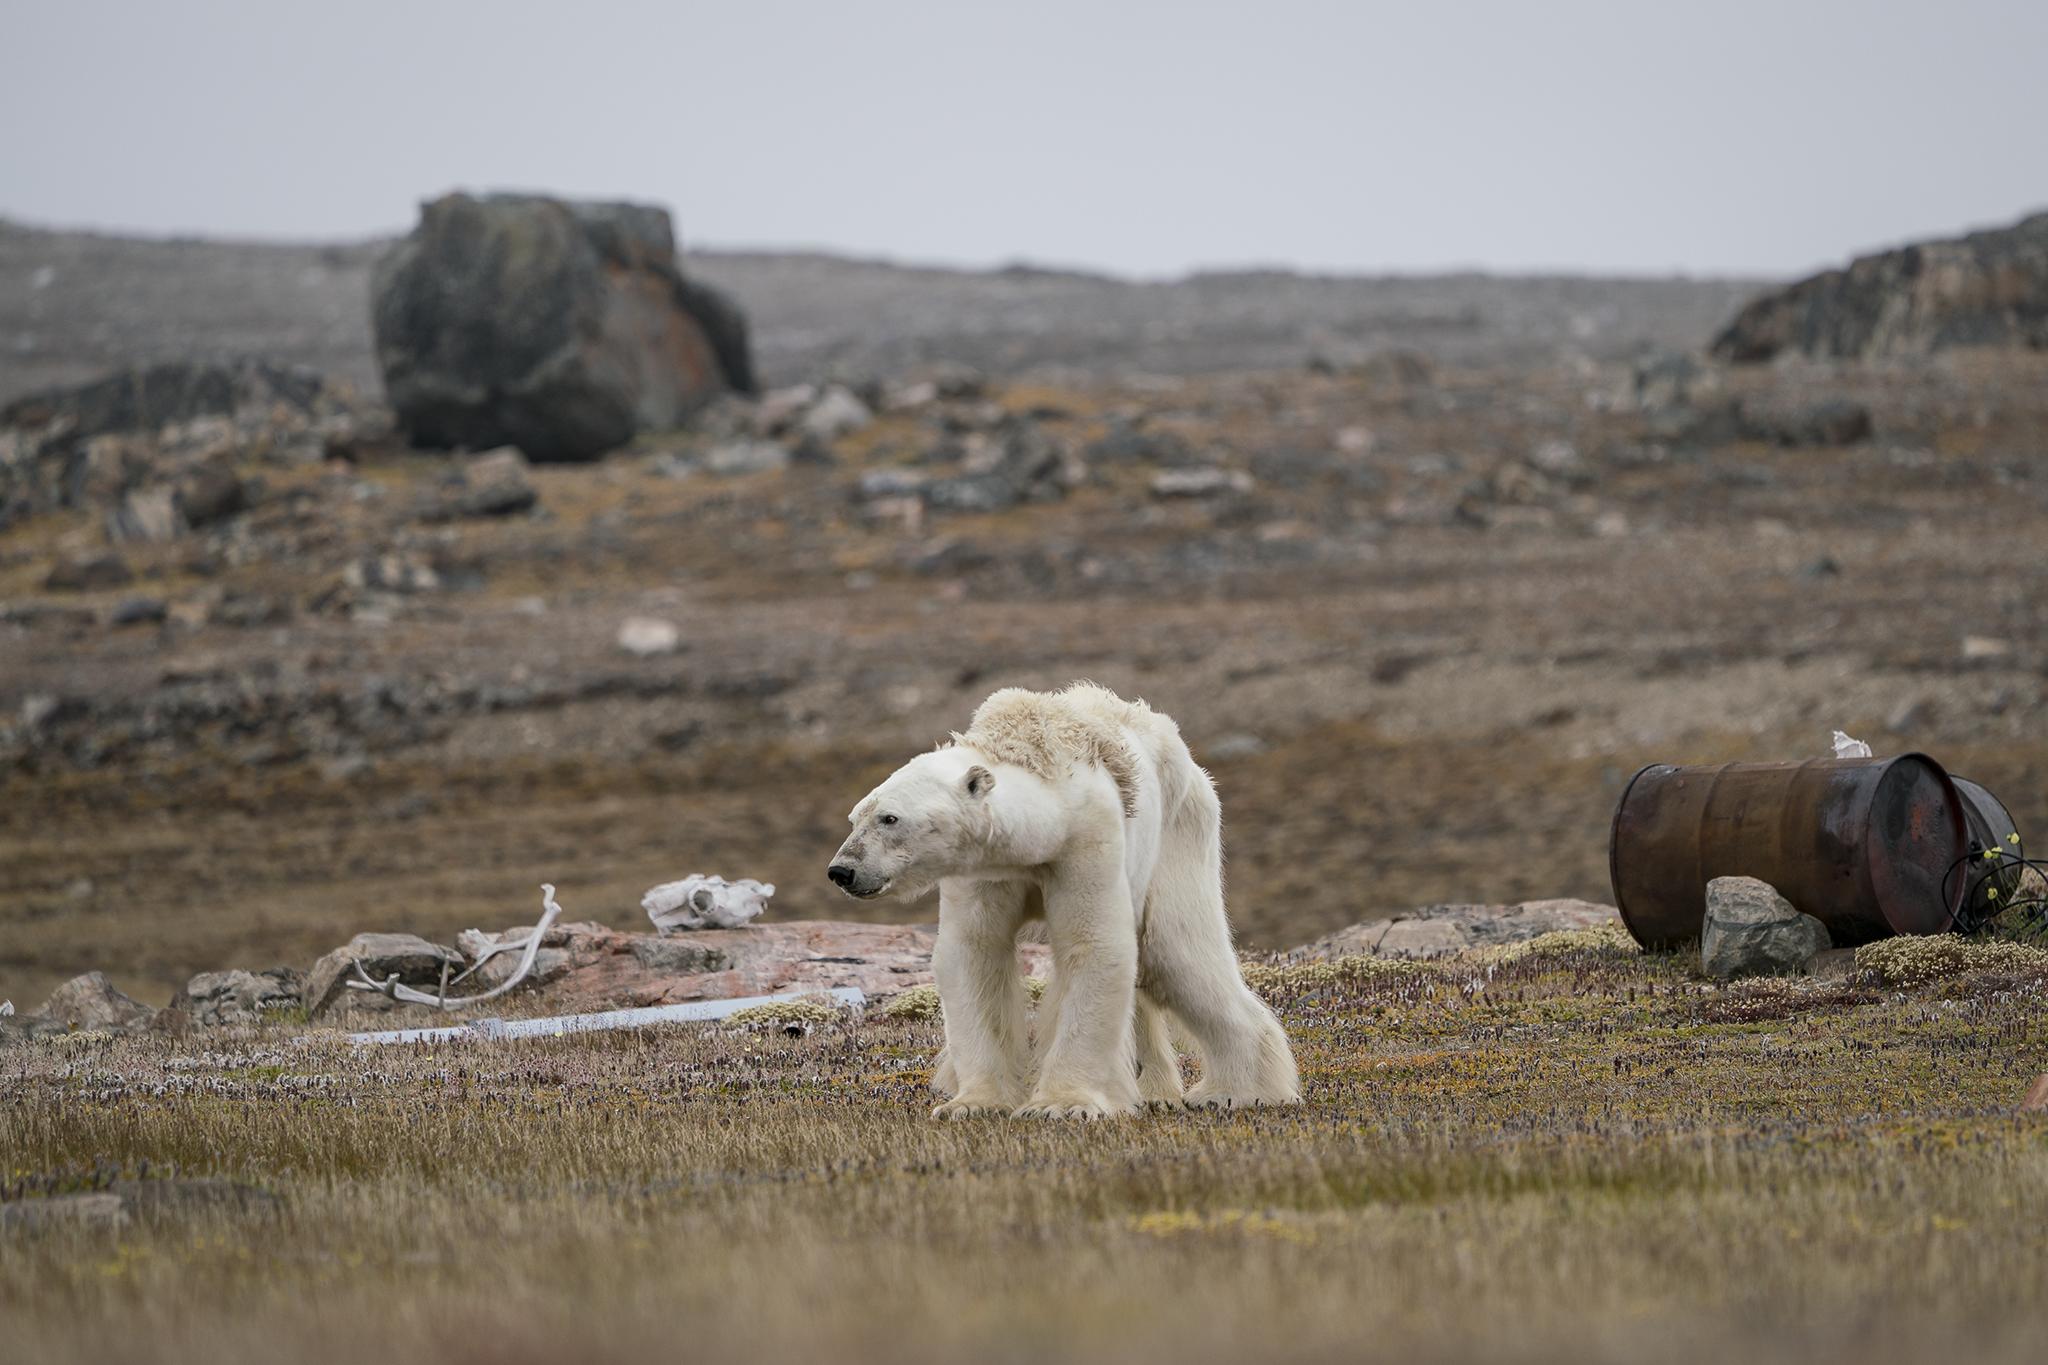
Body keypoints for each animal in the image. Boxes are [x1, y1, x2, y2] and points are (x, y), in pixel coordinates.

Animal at [827, 682, 1299, 1119]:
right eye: (853, 817)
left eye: (890, 818)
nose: (841, 870)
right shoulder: (985, 867)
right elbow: (974, 951)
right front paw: (972, 1103)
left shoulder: (1086, 838)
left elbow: (1093, 945)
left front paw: (1061, 1104)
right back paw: (1153, 1090)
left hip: (1180, 831)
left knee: (1175, 952)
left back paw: (1237, 1091)